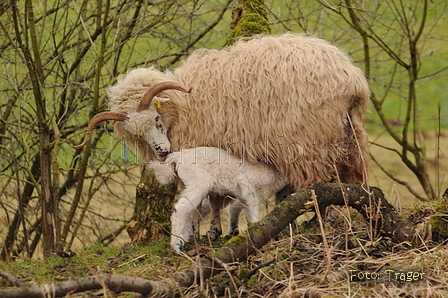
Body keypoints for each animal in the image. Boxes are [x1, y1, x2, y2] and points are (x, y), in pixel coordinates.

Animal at [75, 32, 370, 191]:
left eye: (155, 117)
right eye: (135, 134)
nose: (161, 151)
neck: (184, 104)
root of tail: (350, 77)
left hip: (310, 142)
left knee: (320, 181)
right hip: (350, 134)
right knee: (353, 176)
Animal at [149, 146, 288, 251]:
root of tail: (177, 156)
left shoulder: (245, 196)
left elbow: (242, 210)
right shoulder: (248, 187)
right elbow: (253, 213)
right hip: (198, 182)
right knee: (181, 209)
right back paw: (177, 246)